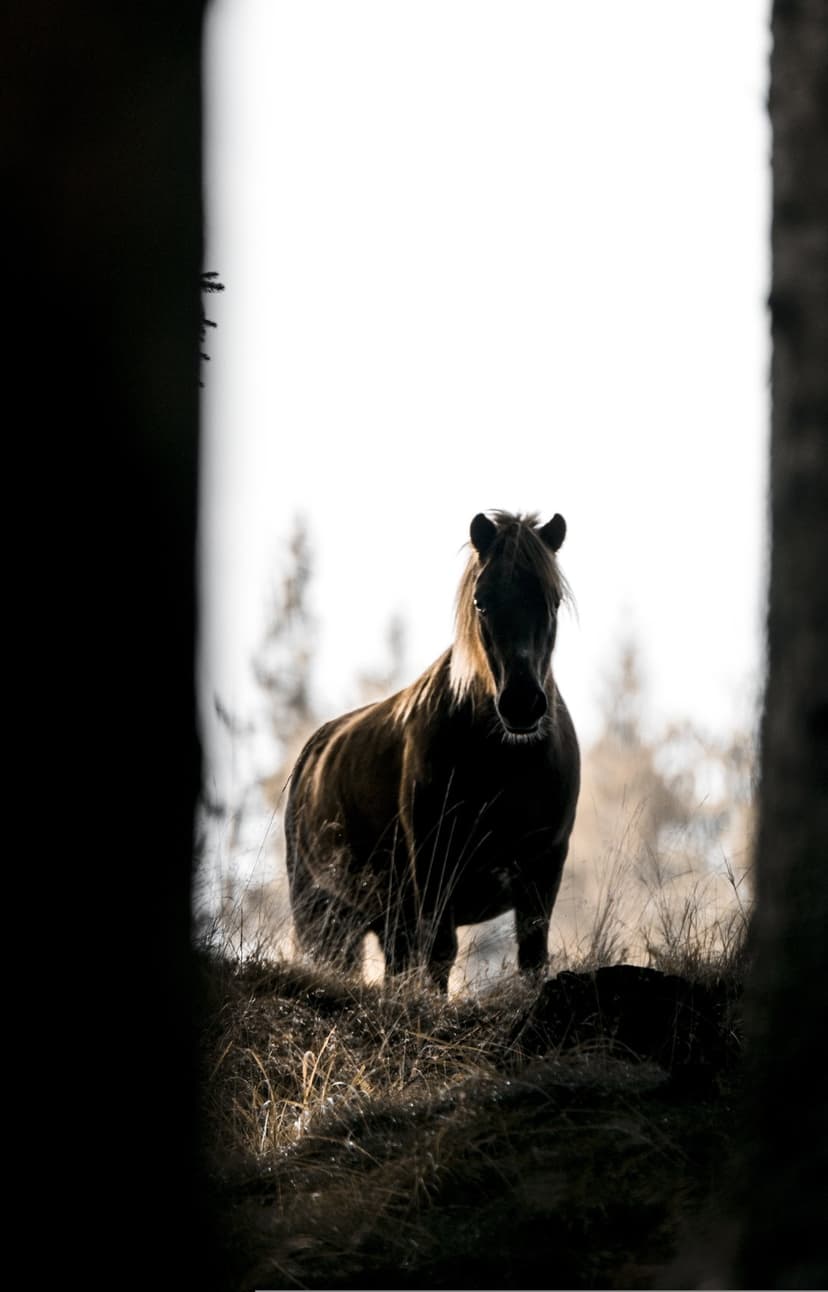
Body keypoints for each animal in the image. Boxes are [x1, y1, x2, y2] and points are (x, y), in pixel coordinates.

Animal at [284, 510, 580, 992]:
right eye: (481, 602)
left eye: (552, 602)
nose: (521, 703)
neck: (504, 763)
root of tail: (313, 752)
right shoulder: (435, 868)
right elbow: (441, 957)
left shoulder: (543, 869)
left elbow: (532, 957)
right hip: (322, 911)